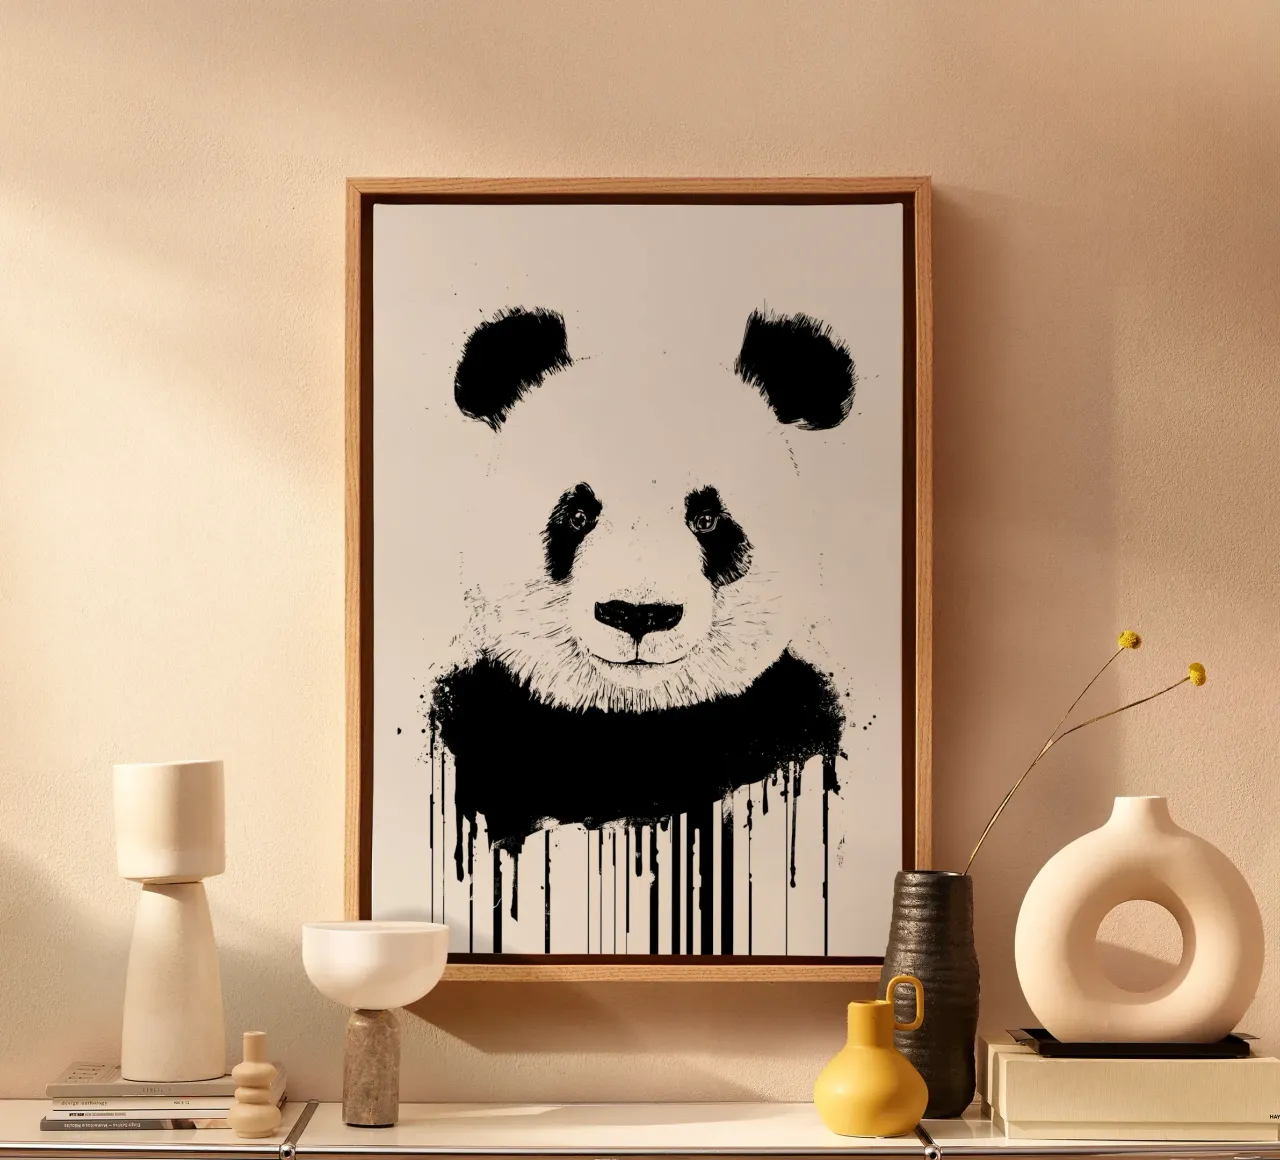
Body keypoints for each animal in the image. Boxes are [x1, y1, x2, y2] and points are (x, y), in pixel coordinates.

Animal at [431, 305, 857, 856]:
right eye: (577, 515)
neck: (637, 726)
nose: (637, 614)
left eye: (707, 520)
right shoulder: (489, 723)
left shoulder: (786, 719)